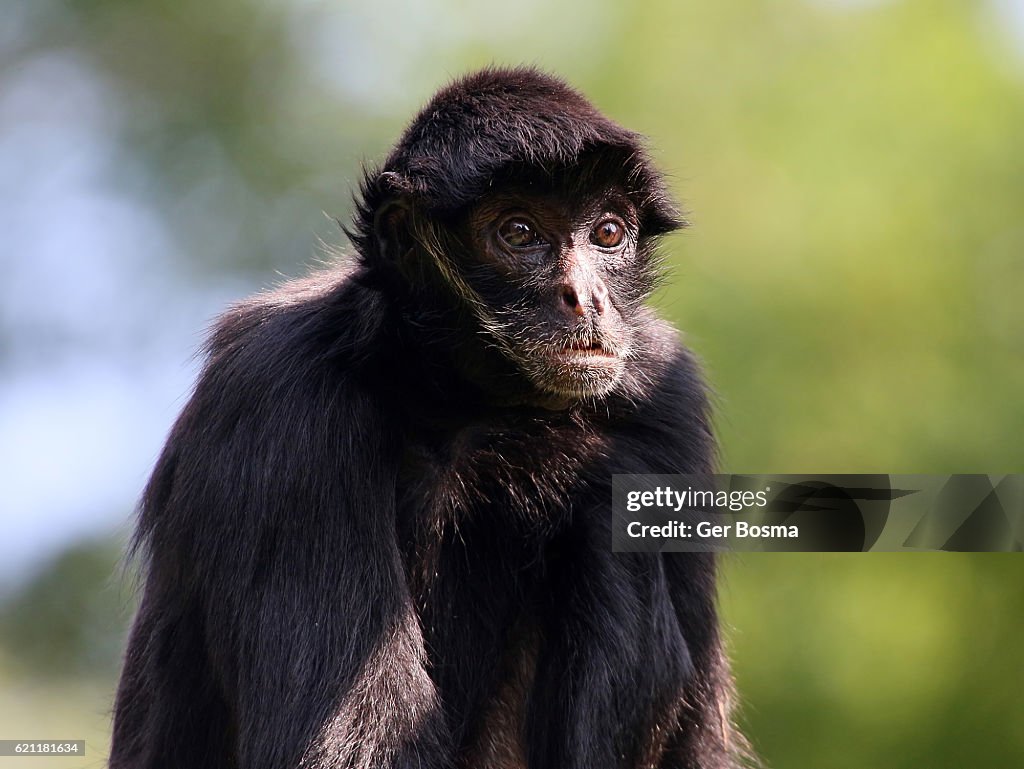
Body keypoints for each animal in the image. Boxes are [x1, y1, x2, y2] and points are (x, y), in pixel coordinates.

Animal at [110, 67, 751, 769]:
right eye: (520, 233)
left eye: (608, 234)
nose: (586, 297)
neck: (469, 410)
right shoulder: (277, 394)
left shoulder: (663, 388)